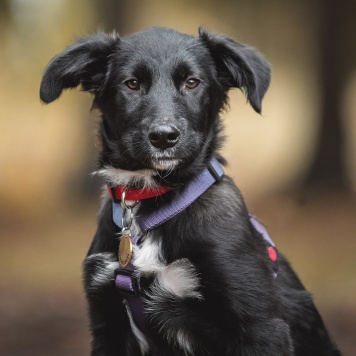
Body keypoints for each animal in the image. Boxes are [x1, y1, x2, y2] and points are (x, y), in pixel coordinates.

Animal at [39, 26, 342, 354]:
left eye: (192, 82)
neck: (154, 203)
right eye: (132, 84)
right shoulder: (108, 321)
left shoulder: (261, 328)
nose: (163, 136)